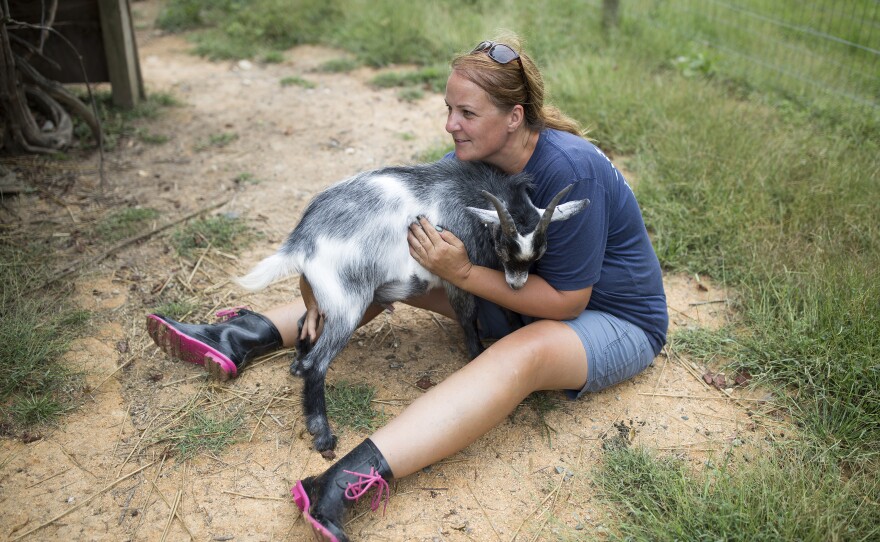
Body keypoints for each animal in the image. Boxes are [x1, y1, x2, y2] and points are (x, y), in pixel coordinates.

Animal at [237, 159, 588, 452]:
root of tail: (303, 240)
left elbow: (507, 310)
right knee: (318, 363)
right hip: (348, 302)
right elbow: (470, 316)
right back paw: (322, 434)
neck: (472, 192)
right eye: (502, 244)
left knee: (304, 323)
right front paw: (476, 354)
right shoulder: (457, 276)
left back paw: (297, 365)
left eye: (540, 252)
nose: (517, 285)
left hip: (330, 299)